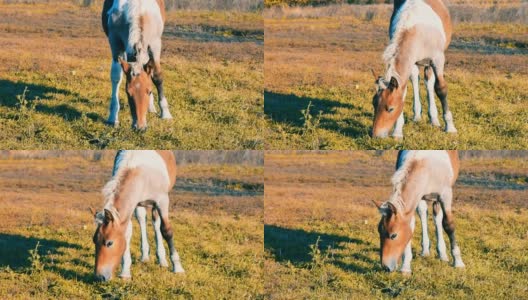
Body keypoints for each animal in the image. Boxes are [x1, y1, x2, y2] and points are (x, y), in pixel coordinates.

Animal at [93, 150, 186, 282]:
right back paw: (145, 256)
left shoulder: (162, 201)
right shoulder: (132, 204)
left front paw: (178, 267)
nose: (99, 277)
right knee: (142, 219)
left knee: (156, 223)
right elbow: (127, 233)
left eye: (109, 243)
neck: (139, 172)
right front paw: (125, 272)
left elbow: (166, 231)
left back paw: (162, 259)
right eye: (94, 240)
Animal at [372, 0, 458, 138]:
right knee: (416, 79)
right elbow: (404, 91)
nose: (375, 134)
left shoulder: (437, 60)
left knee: (429, 83)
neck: (414, 29)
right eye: (373, 104)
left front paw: (450, 127)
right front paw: (397, 132)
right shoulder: (410, 61)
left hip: (429, 63)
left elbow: (441, 89)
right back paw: (417, 115)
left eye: (391, 108)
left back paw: (434, 119)